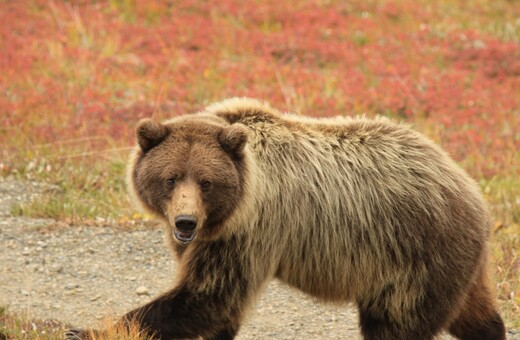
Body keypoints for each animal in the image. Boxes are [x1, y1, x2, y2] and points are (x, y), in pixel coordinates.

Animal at [67, 97, 506, 338]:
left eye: (206, 181)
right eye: (170, 177)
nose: (185, 222)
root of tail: (471, 190)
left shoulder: (250, 231)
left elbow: (206, 296)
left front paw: (85, 328)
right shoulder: (213, 238)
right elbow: (215, 305)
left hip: (412, 257)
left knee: (396, 324)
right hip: (455, 264)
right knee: (475, 314)